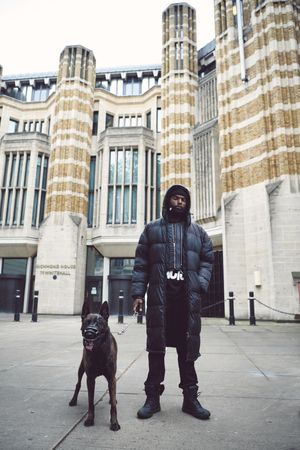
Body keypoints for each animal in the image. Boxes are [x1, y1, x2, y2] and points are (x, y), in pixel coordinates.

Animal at [69, 300, 120, 430]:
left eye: (99, 323)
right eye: (87, 322)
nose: (89, 333)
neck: (98, 351)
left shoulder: (111, 377)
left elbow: (113, 404)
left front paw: (114, 422)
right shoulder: (90, 378)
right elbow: (90, 402)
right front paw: (90, 419)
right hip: (81, 368)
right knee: (78, 384)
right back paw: (73, 400)